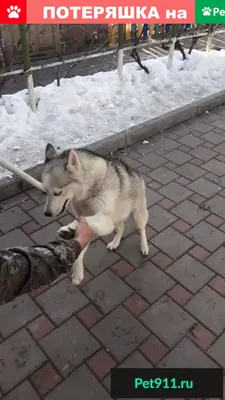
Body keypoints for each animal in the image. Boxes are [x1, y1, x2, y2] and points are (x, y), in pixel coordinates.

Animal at [42, 144, 149, 284]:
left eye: (57, 193)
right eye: (45, 192)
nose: (47, 213)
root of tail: (135, 172)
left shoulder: (104, 219)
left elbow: (85, 221)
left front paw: (70, 227)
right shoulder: (96, 222)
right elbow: (79, 247)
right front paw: (78, 272)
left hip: (137, 215)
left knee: (142, 230)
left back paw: (144, 246)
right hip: (115, 219)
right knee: (121, 227)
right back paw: (115, 243)